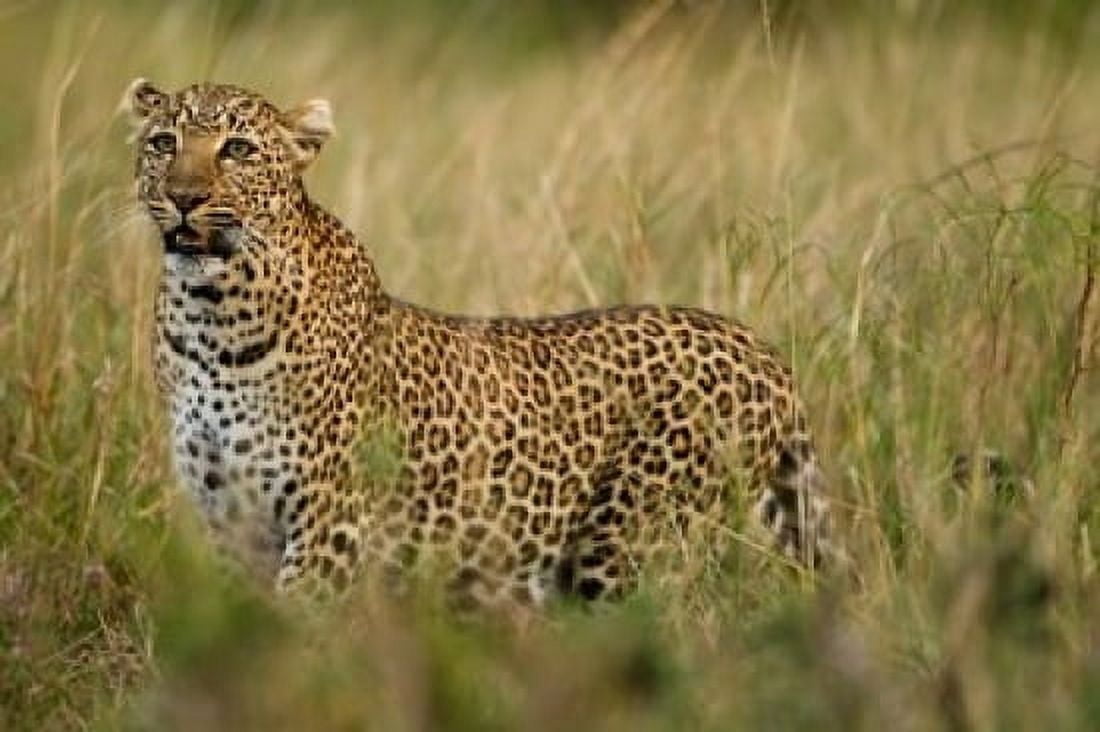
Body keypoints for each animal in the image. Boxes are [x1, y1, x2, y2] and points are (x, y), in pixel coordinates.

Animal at [124, 79, 835, 607]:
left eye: (238, 149)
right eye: (163, 142)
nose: (184, 198)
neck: (212, 324)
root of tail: (762, 350)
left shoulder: (329, 525)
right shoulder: (229, 526)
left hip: (629, 545)